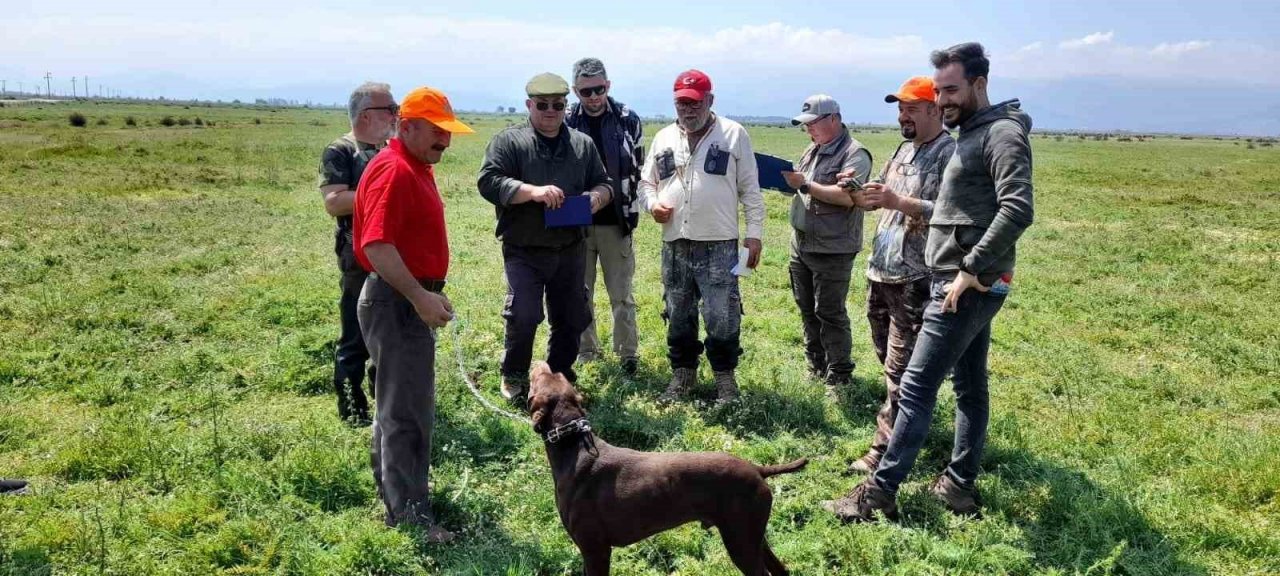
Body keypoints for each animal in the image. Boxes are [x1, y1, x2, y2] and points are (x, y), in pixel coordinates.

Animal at [524, 363, 803, 573]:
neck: (575, 447)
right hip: (753, 536)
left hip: (740, 540)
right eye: (555, 375)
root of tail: (757, 469)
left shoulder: (595, 550)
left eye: (539, 378)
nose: (539, 361)